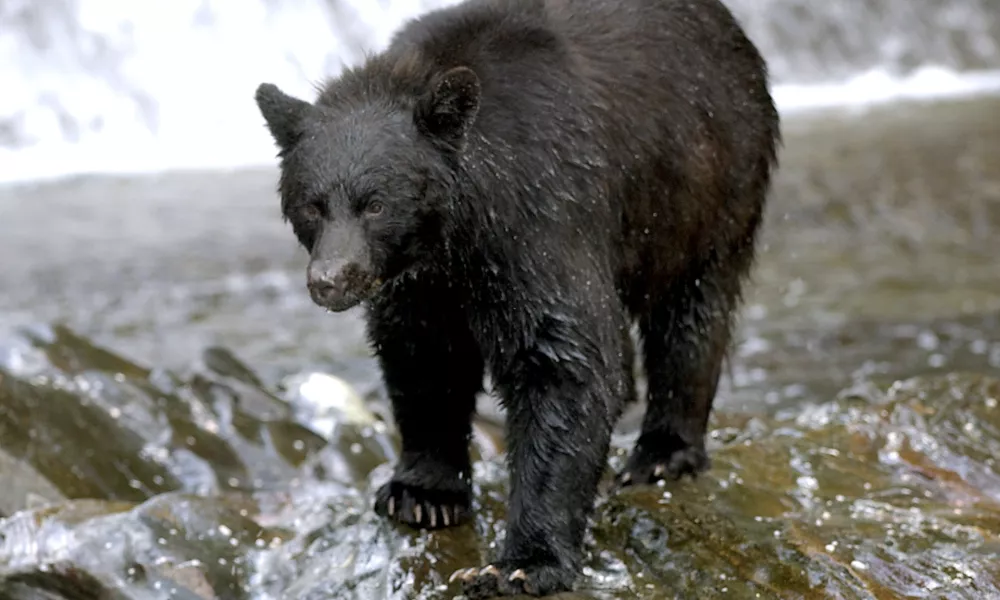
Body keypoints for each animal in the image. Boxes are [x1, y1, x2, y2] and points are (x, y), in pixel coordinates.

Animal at [256, 0, 780, 596]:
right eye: (312, 204)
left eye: (375, 204)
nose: (331, 279)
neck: (453, 240)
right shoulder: (419, 287)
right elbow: (423, 360)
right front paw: (422, 493)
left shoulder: (537, 221)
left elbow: (566, 361)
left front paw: (524, 561)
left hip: (707, 188)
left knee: (691, 315)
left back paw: (663, 453)